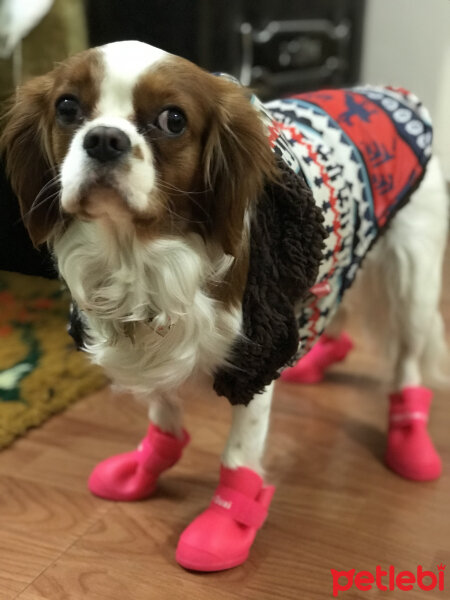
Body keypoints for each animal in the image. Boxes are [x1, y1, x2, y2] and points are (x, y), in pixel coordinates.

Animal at [1, 41, 448, 572]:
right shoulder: (153, 346)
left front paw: (226, 522)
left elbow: (239, 452)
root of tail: (395, 93)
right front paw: (144, 469)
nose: (104, 139)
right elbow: (164, 416)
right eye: (67, 108)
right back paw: (320, 357)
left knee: (407, 363)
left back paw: (410, 441)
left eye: (173, 120)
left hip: (412, 280)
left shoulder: (259, 356)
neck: (143, 257)